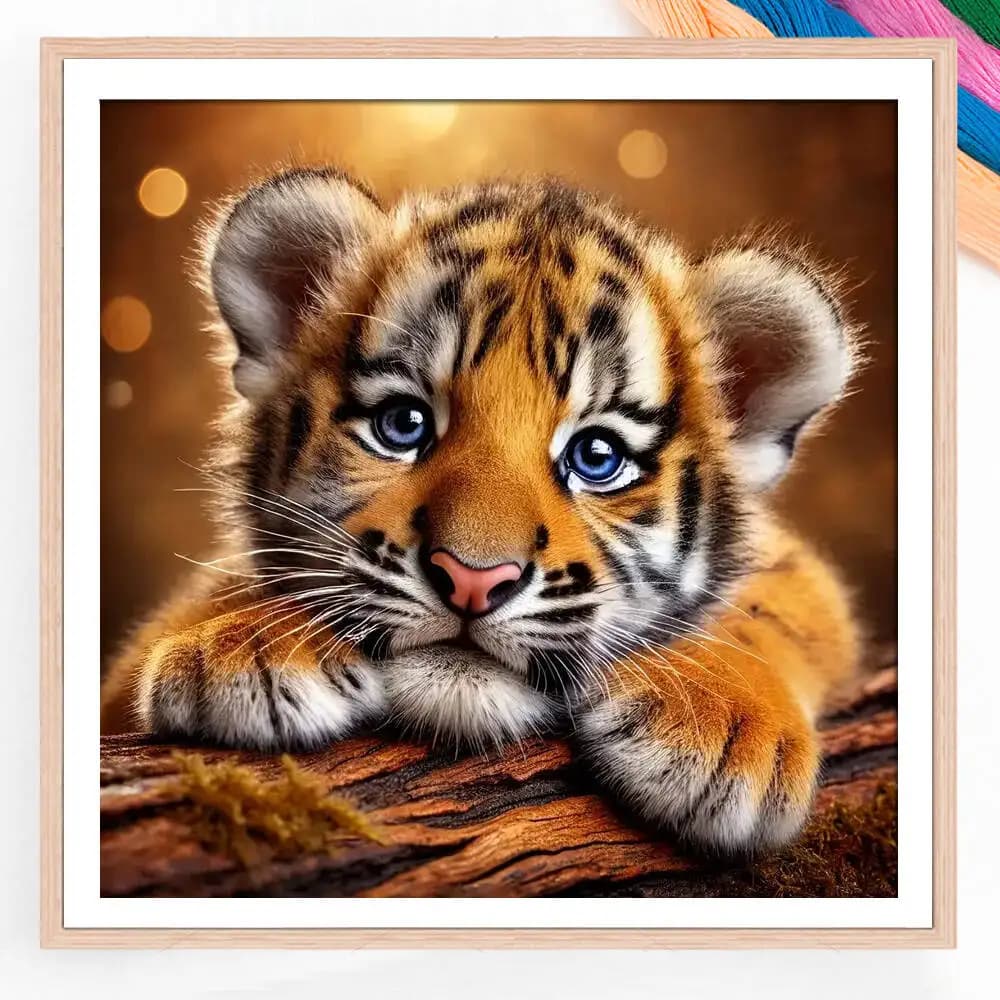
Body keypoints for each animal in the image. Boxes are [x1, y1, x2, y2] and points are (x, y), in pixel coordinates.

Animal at [100, 166, 861, 853]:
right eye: (402, 424)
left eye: (597, 457)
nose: (472, 579)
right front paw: (245, 643)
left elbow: (773, 610)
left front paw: (724, 725)